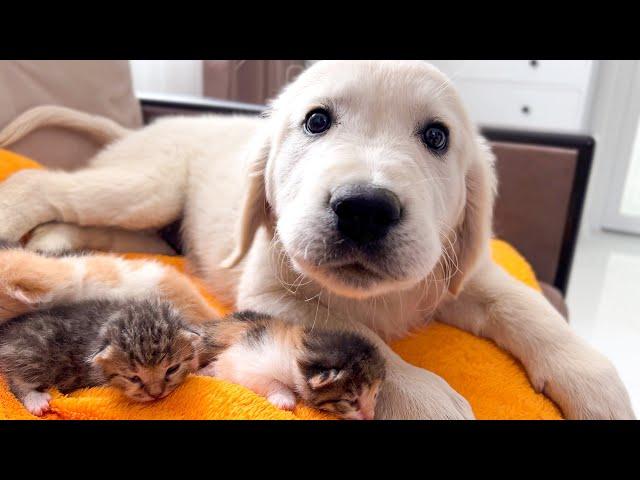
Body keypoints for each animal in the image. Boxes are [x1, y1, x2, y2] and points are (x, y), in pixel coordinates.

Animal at [0, 298, 200, 414]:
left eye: (172, 369)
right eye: (133, 378)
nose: (156, 395)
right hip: (36, 351)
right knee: (16, 379)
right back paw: (35, 399)